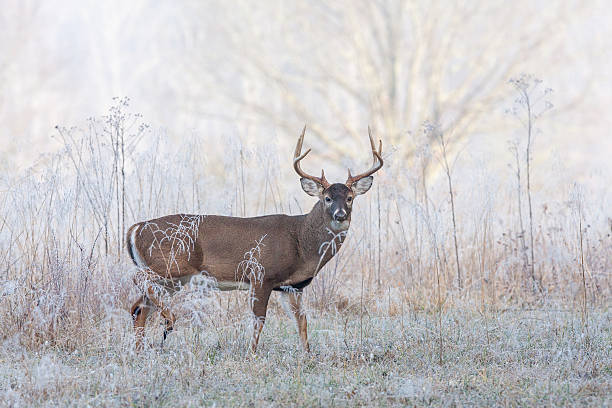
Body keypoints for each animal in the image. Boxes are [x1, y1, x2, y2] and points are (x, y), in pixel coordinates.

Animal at [127, 126, 382, 350]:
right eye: (327, 198)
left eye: (349, 198)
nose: (340, 215)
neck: (301, 243)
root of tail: (136, 228)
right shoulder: (261, 274)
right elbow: (259, 320)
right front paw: (251, 353)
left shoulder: (292, 287)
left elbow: (302, 321)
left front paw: (307, 354)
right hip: (171, 264)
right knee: (138, 281)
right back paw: (169, 320)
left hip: (174, 280)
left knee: (139, 308)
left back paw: (141, 349)